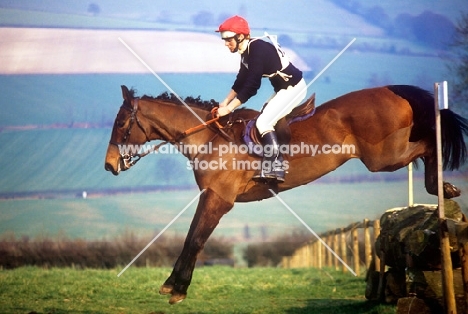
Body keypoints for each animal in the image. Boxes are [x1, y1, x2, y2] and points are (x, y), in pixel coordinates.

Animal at [106, 84, 468, 304]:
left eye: (122, 123)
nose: (110, 165)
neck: (208, 138)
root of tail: (393, 91)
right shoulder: (210, 196)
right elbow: (190, 238)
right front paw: (172, 284)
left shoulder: (218, 198)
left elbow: (195, 240)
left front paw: (178, 289)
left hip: (384, 157)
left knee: (427, 144)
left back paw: (443, 186)